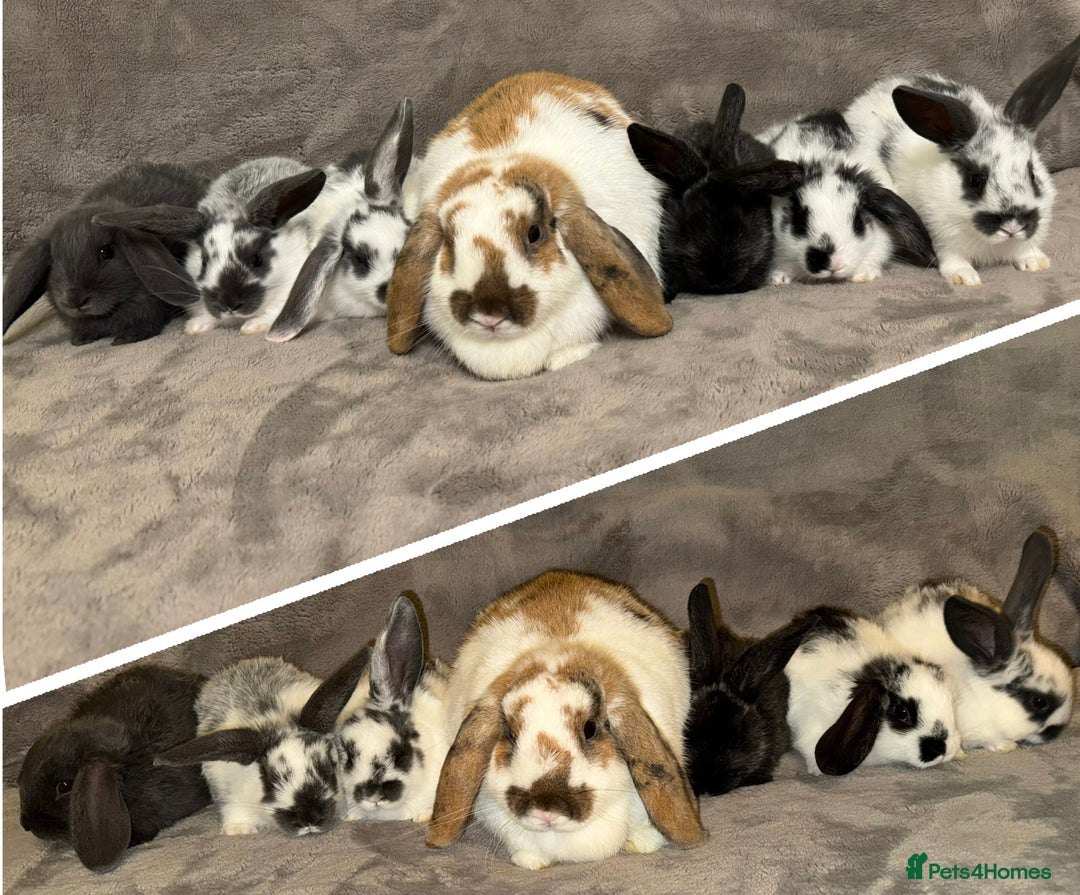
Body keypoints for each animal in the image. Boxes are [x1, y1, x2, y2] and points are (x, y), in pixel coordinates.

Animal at [94, 157, 327, 335]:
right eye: (204, 262)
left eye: (256, 259)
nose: (229, 304)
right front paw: (194, 327)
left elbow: (272, 315)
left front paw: (251, 328)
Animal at [844, 34, 1080, 286]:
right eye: (975, 180)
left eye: (1033, 174)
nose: (1012, 226)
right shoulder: (939, 232)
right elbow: (952, 256)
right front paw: (965, 277)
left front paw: (1036, 263)